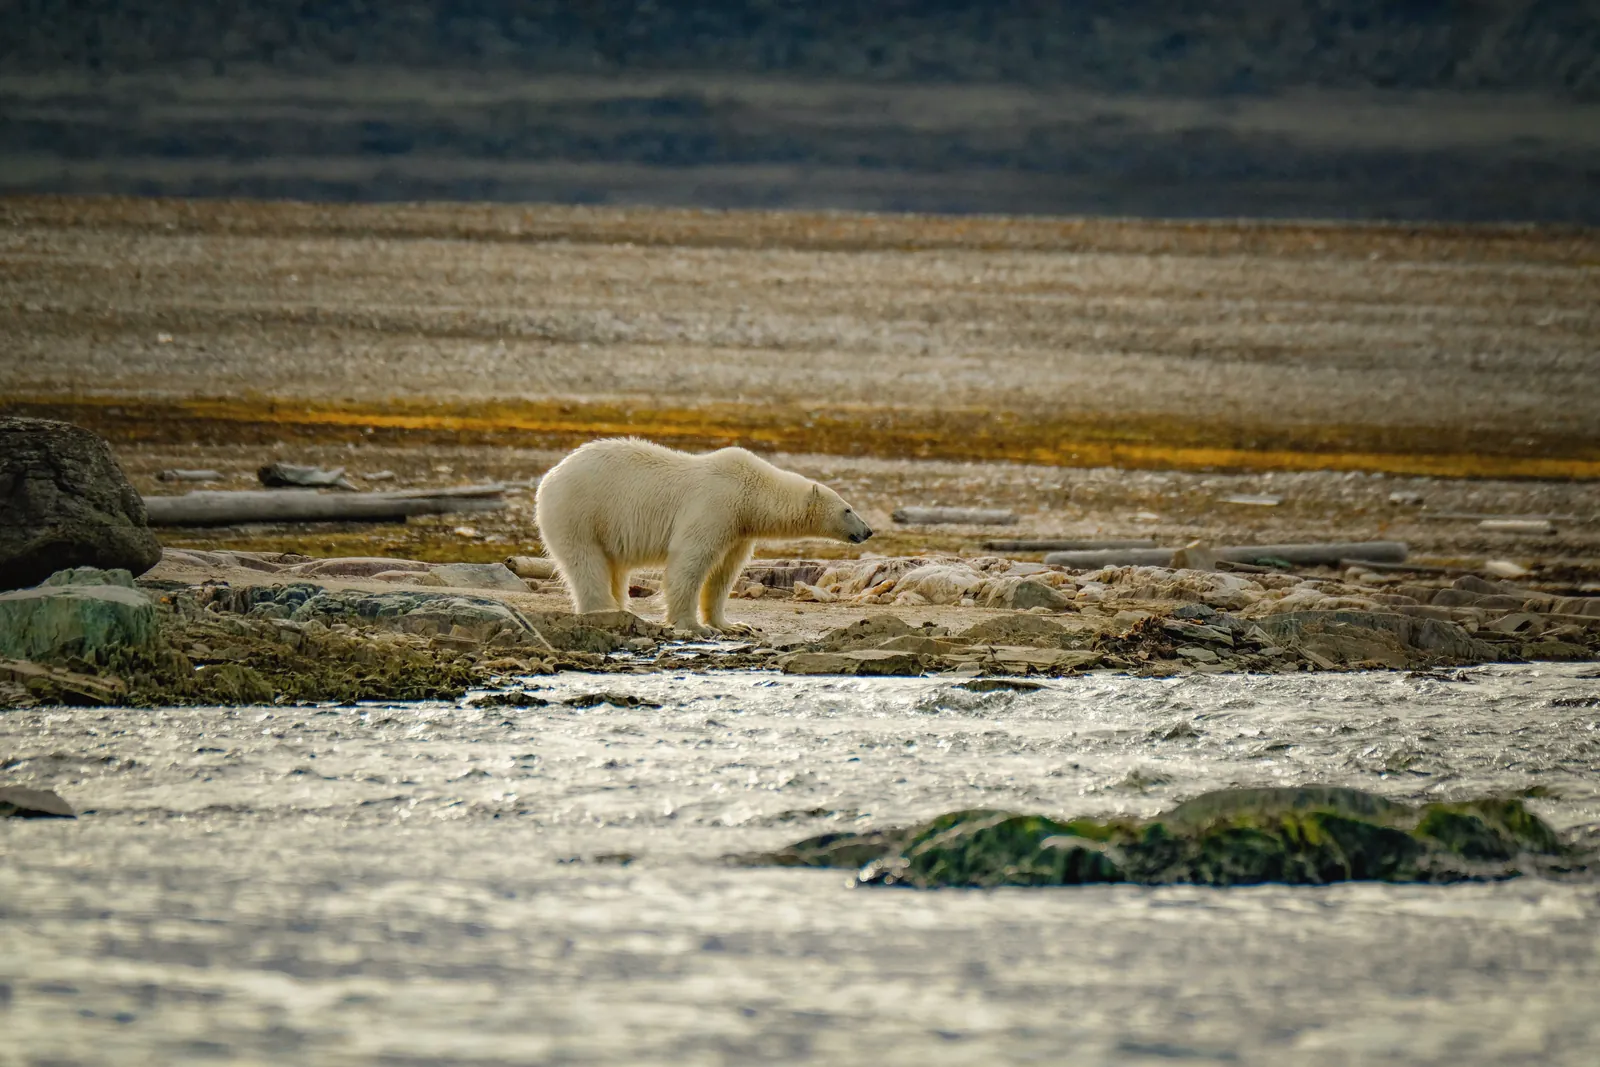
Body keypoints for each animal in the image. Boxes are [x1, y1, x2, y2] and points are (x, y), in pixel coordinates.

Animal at [534, 438, 873, 635]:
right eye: (848, 509)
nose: (867, 531)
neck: (751, 491)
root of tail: (550, 476)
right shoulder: (715, 506)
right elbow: (690, 562)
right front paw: (694, 627)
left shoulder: (738, 528)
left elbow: (724, 572)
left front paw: (734, 626)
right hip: (580, 512)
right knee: (586, 562)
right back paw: (605, 611)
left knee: (614, 567)